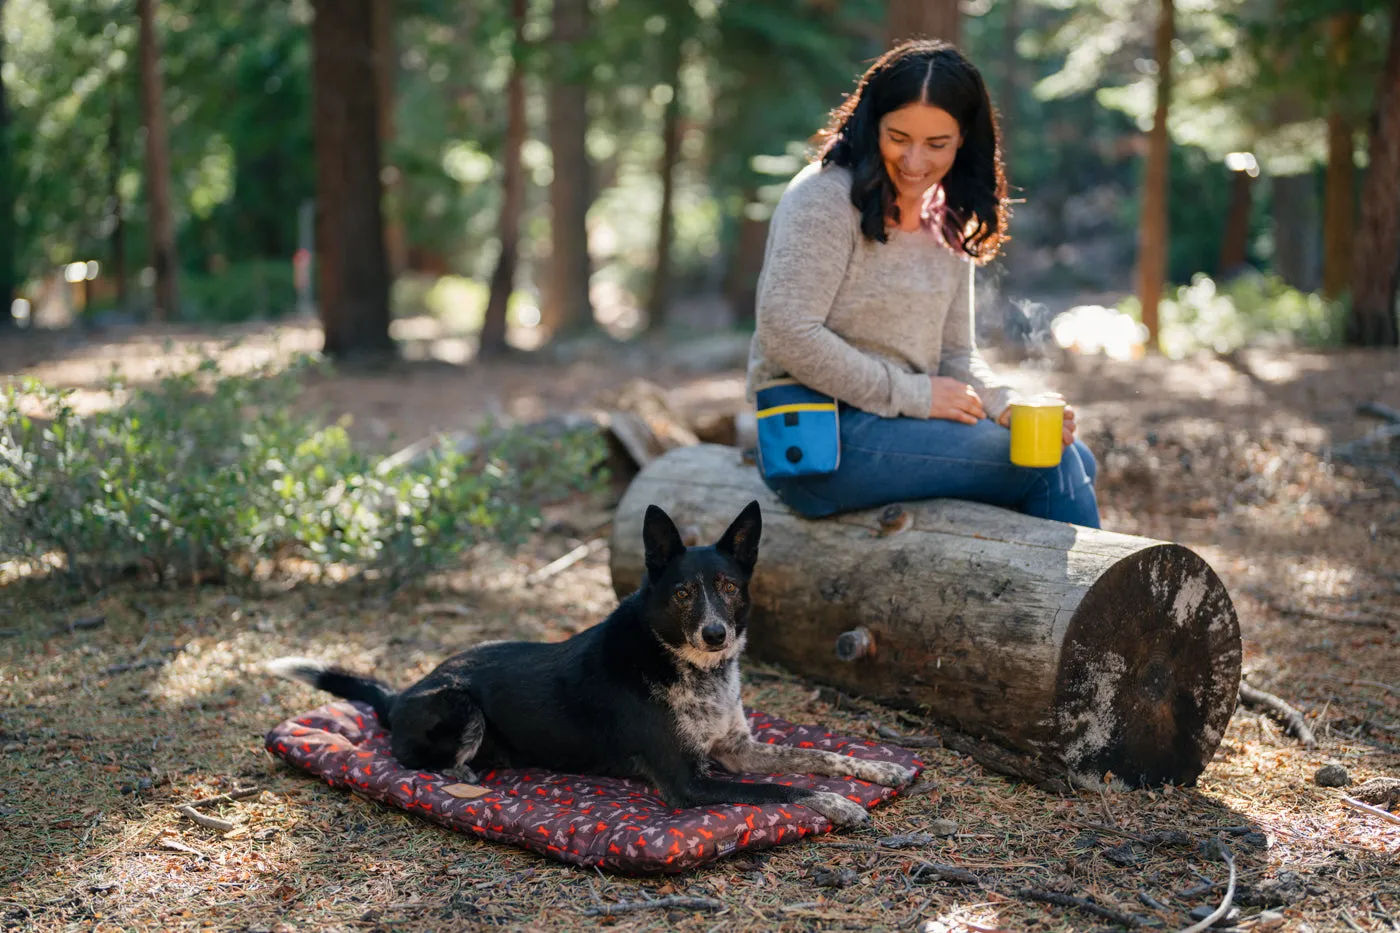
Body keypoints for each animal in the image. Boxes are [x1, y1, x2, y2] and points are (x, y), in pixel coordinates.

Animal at [266, 501, 912, 823]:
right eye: (683, 593)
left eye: (729, 587)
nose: (715, 633)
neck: (691, 669)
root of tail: (399, 695)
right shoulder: (690, 782)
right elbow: (780, 789)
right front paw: (836, 803)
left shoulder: (735, 747)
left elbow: (812, 754)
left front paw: (877, 769)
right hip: (461, 704)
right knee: (423, 762)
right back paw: (470, 778)